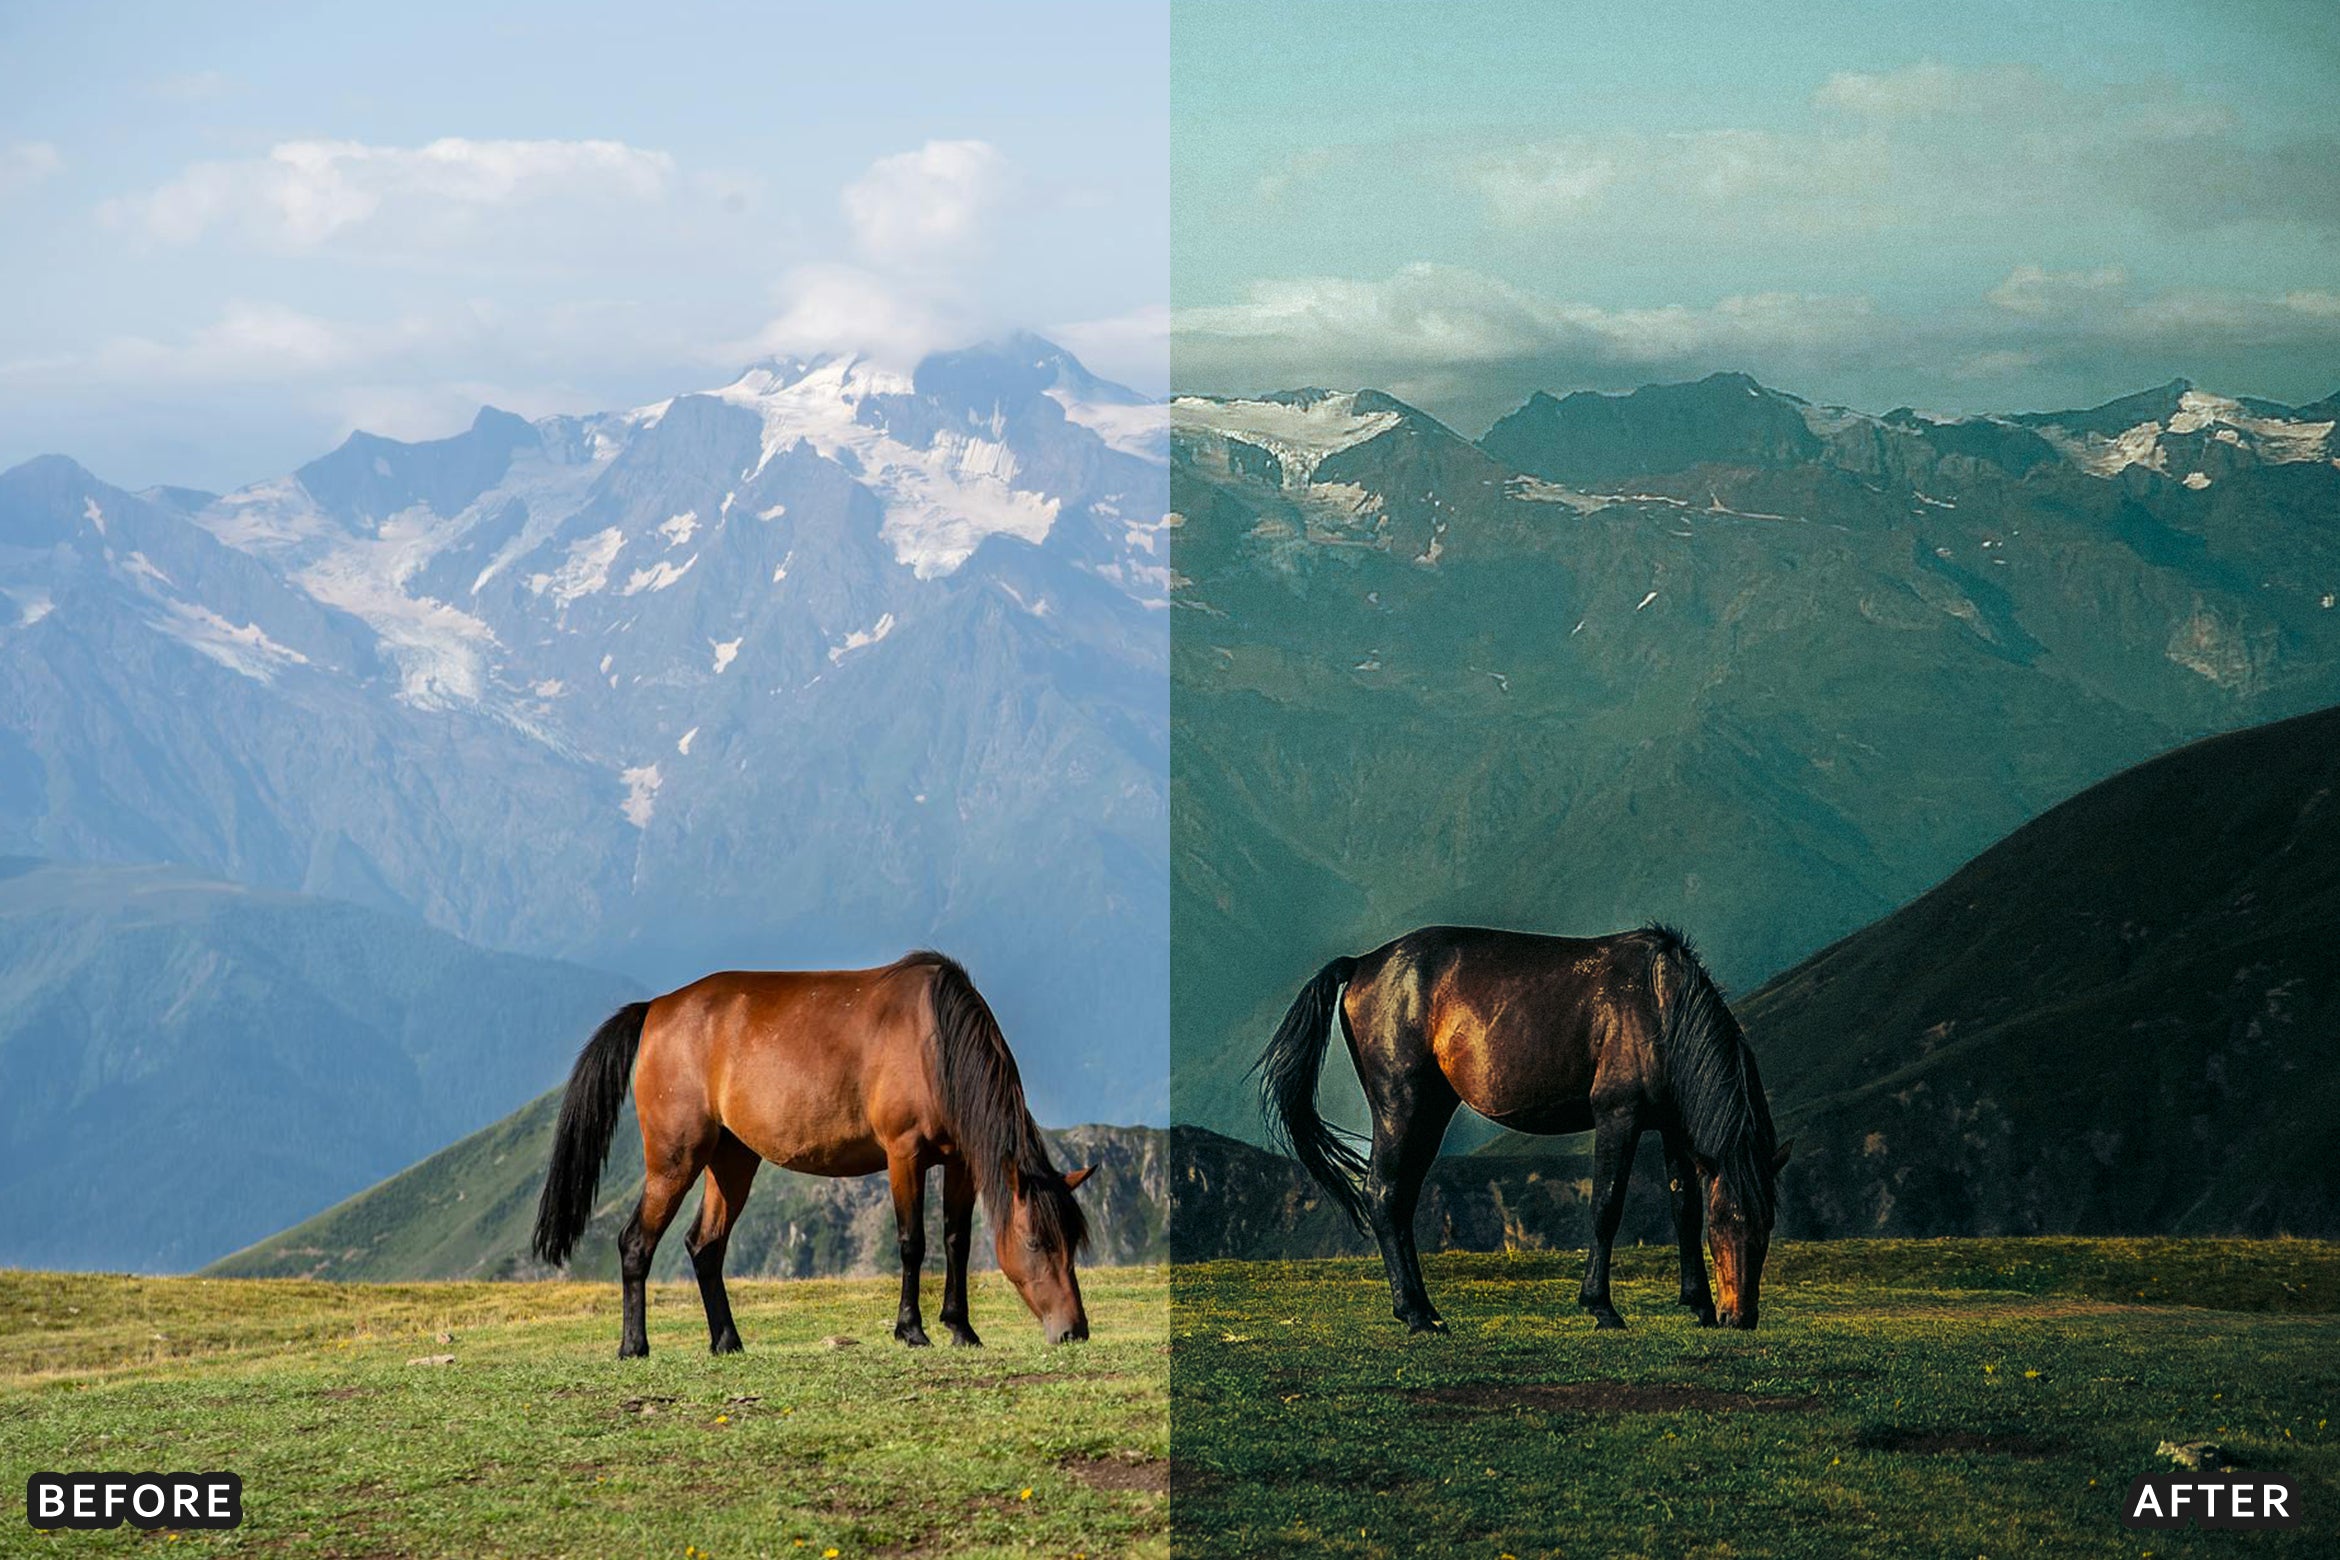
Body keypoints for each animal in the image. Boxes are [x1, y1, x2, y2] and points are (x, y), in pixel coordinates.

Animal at [530, 950, 1096, 1356]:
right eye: (1037, 1242)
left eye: (1073, 1241)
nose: (1074, 1330)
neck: (934, 1042)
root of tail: (656, 1009)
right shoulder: (904, 1155)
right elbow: (912, 1242)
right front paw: (911, 1330)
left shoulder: (959, 1161)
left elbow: (956, 1241)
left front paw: (962, 1329)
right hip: (675, 1159)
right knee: (635, 1243)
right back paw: (634, 1346)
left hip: (731, 1160)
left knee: (705, 1245)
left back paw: (727, 1341)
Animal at [1257, 924, 1788, 1333]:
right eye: (1728, 1222)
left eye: (1765, 1225)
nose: (1741, 1317)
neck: (1659, 1004)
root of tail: (1364, 963)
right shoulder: (1619, 1116)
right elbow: (1606, 1206)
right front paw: (1601, 1307)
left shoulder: (1674, 1126)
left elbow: (1684, 1208)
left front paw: (1698, 1304)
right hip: (1399, 1105)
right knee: (1383, 1194)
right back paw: (1414, 1314)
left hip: (1431, 1110)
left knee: (1401, 1199)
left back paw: (1427, 1310)